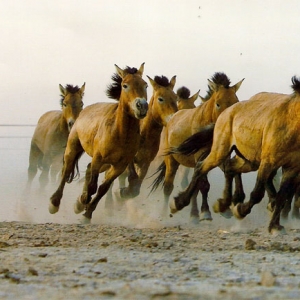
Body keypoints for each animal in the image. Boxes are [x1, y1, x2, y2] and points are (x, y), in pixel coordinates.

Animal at [48, 63, 149, 223]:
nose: (142, 106)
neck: (120, 133)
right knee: (66, 171)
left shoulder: (119, 166)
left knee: (88, 170)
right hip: (73, 147)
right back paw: (55, 203)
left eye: (145, 85)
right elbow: (92, 187)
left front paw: (87, 213)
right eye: (125, 85)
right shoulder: (98, 158)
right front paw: (83, 202)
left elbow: (103, 189)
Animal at [150, 72, 244, 223]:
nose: (230, 121)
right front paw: (205, 212)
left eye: (236, 102)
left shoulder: (219, 155)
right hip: (172, 161)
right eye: (218, 104)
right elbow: (203, 185)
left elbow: (228, 170)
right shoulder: (200, 155)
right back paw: (165, 214)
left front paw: (227, 207)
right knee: (168, 186)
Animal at [170, 75, 300, 234]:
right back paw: (179, 204)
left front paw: (275, 226)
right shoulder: (268, 162)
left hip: (249, 160)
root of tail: (226, 113)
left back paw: (223, 205)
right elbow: (257, 193)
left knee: (230, 168)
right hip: (220, 151)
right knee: (201, 168)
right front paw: (240, 210)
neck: (290, 122)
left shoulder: (292, 167)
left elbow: (283, 196)